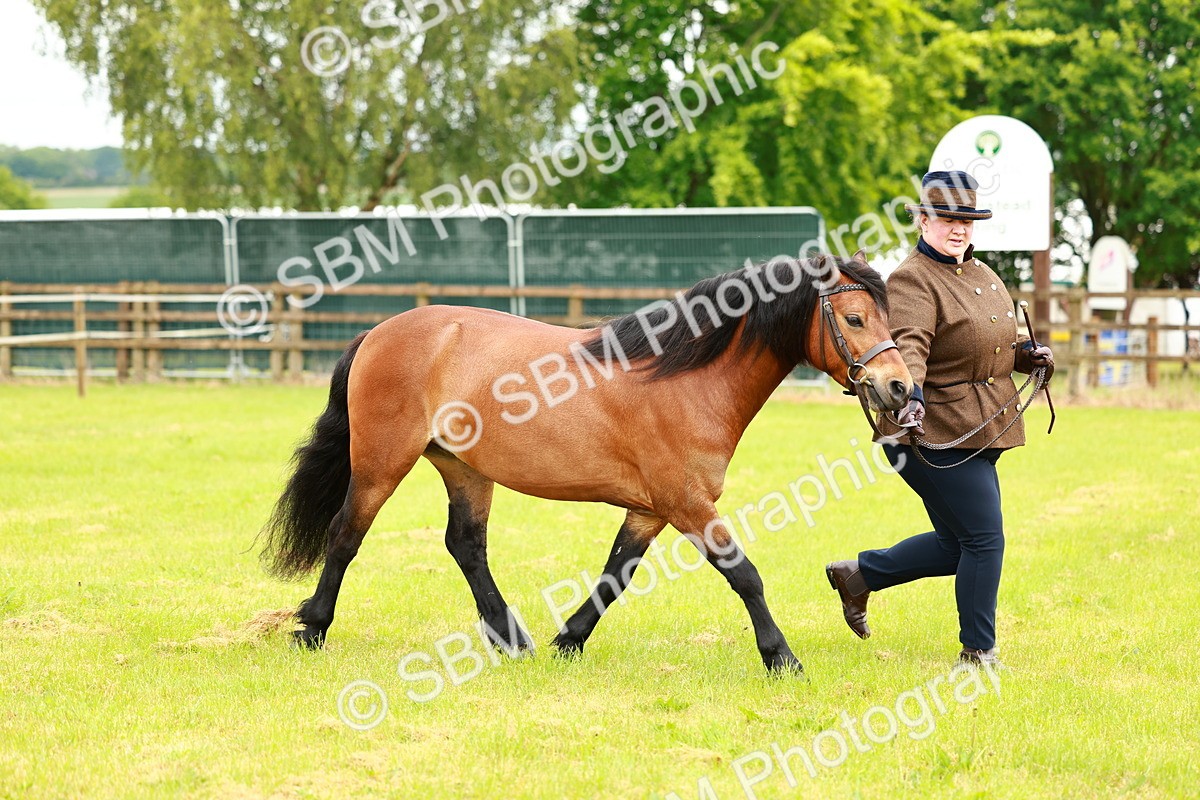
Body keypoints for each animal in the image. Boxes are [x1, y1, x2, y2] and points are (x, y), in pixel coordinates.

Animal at [259, 250, 913, 673]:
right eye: (855, 319)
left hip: (465, 469)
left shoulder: (651, 510)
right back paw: (311, 628)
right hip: (382, 462)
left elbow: (614, 576)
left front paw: (568, 642)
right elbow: (744, 573)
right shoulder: (688, 504)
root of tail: (379, 331)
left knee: (465, 545)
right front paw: (781, 657)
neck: (684, 378)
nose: (899, 388)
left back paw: (511, 639)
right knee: (346, 534)